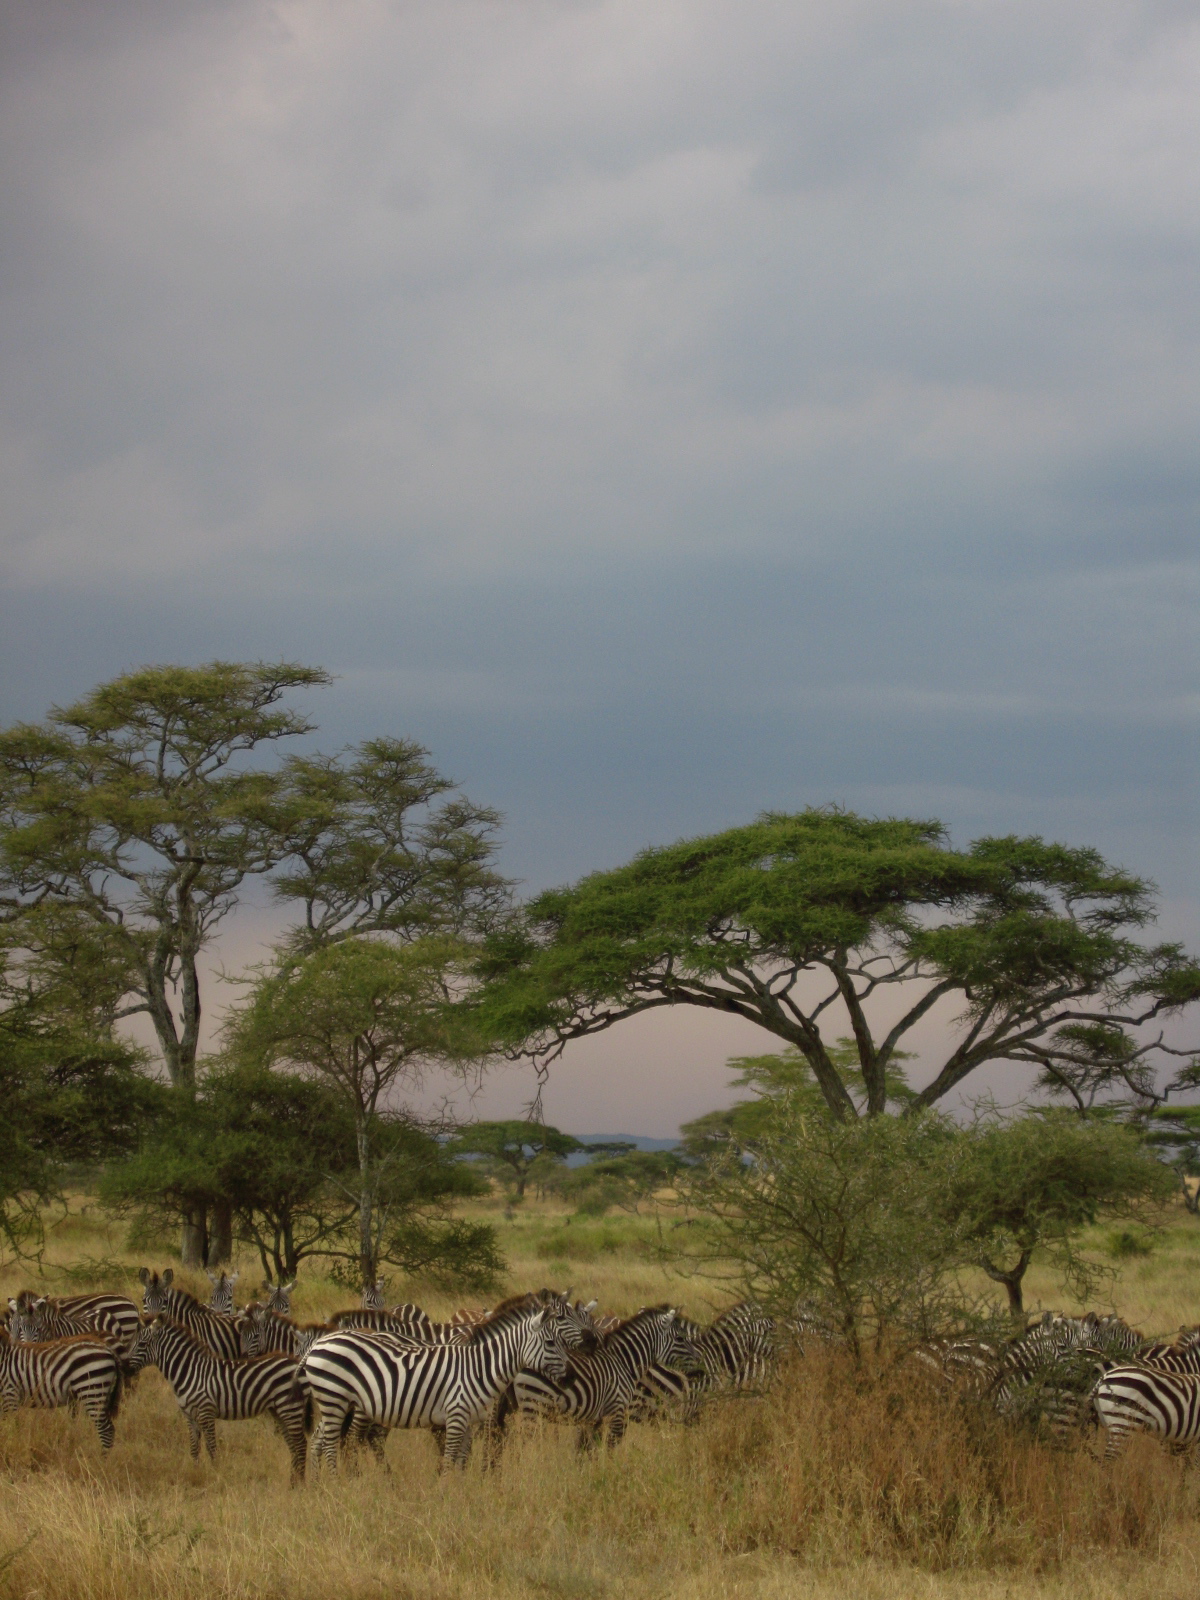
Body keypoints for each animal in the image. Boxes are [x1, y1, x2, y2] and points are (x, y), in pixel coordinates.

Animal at [0, 1324, 123, 1452]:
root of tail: (108, 1349)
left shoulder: (10, 1393)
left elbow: (9, 1426)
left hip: (91, 1390)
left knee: (106, 1430)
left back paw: (101, 1457)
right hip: (102, 1393)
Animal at [129, 1318, 312, 1478]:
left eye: (142, 1344)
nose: (125, 1366)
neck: (190, 1371)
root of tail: (298, 1364)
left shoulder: (206, 1411)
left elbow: (211, 1447)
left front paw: (215, 1473)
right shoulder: (189, 1415)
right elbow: (194, 1448)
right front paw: (196, 1472)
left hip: (290, 1407)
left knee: (301, 1444)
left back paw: (300, 1483)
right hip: (278, 1410)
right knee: (292, 1445)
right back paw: (293, 1480)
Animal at [294, 1292, 569, 1465]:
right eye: (550, 1342)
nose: (568, 1376)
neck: (481, 1367)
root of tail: (319, 1344)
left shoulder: (468, 1421)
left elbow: (461, 1459)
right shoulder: (456, 1415)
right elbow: (449, 1459)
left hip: (333, 1401)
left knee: (319, 1439)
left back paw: (319, 1486)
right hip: (335, 1400)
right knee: (332, 1444)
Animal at [508, 1312, 700, 1452]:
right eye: (680, 1339)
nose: (699, 1366)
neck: (623, 1362)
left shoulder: (595, 1419)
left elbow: (588, 1450)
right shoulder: (617, 1411)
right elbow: (609, 1449)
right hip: (535, 1405)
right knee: (525, 1444)